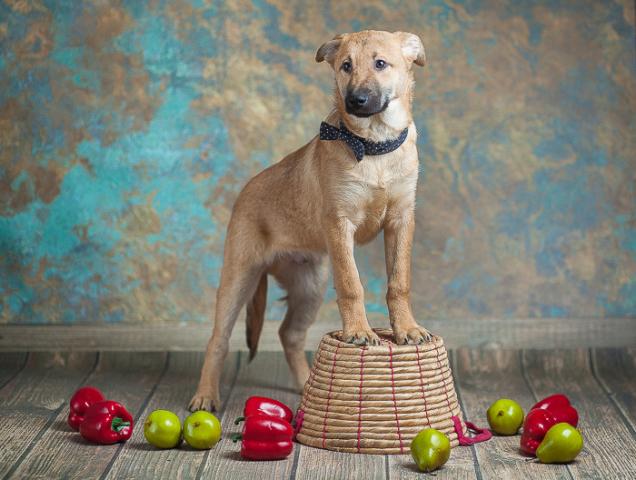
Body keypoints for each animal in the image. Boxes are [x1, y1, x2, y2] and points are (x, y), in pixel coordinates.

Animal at [189, 30, 430, 412]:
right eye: (345, 66)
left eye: (381, 63)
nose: (355, 100)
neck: (373, 146)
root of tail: (244, 192)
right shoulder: (339, 224)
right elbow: (351, 284)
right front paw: (359, 331)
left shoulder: (401, 220)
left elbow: (399, 282)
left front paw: (406, 328)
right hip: (239, 276)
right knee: (219, 338)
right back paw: (205, 395)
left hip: (310, 286)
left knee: (289, 334)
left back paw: (307, 387)